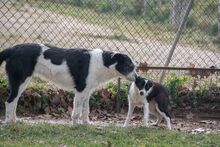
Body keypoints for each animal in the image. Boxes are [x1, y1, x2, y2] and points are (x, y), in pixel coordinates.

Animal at [0, 43, 137, 124]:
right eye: (130, 66)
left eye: (134, 67)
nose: (137, 78)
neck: (103, 62)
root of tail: (13, 49)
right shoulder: (81, 91)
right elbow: (77, 111)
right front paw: (75, 126)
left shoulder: (87, 92)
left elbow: (85, 110)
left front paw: (86, 124)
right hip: (20, 81)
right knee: (9, 101)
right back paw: (9, 123)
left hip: (21, 83)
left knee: (14, 101)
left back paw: (15, 120)